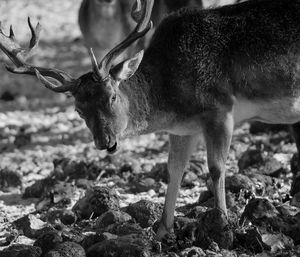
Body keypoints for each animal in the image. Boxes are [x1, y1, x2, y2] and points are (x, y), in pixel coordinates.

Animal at [0, 0, 300, 239]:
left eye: (112, 96)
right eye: (78, 110)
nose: (105, 141)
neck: (173, 95)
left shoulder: (221, 110)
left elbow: (216, 168)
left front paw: (224, 224)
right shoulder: (183, 129)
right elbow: (174, 170)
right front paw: (163, 230)